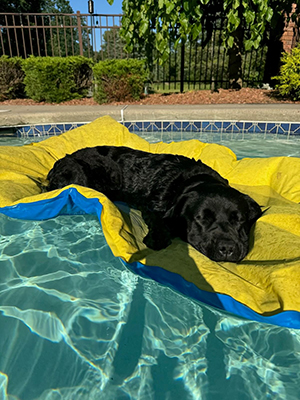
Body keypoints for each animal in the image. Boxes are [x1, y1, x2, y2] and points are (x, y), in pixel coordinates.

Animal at [47, 146, 260, 262]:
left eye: (239, 220)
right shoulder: (153, 206)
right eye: (202, 219)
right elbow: (158, 220)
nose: (227, 248)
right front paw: (158, 238)